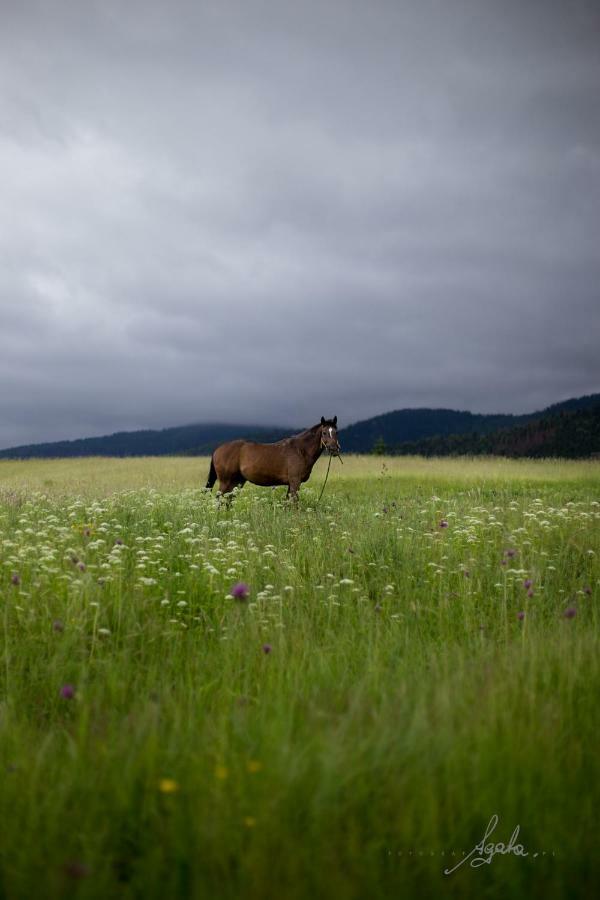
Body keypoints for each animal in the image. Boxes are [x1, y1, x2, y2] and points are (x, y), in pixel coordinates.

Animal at [206, 414, 340, 500]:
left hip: (237, 482)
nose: (334, 449)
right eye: (324, 433)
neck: (301, 450)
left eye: (336, 432)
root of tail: (218, 449)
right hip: (226, 481)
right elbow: (294, 502)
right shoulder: (295, 481)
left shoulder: (291, 484)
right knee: (219, 499)